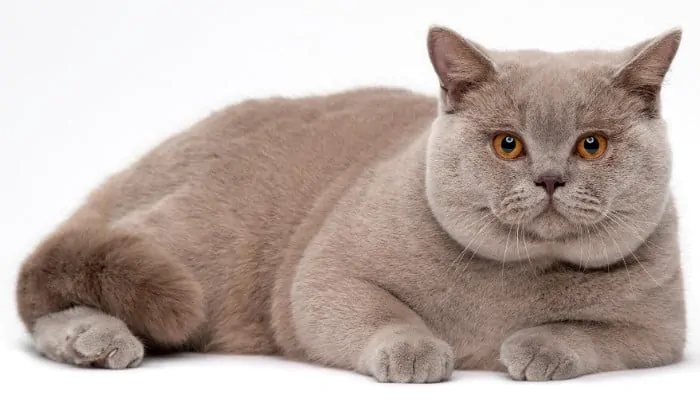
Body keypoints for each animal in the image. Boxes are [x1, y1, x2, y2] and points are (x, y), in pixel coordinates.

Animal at [15, 25, 684, 382]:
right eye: (508, 144)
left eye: (592, 145)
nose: (549, 178)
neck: (512, 280)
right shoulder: (325, 273)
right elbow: (376, 310)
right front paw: (415, 352)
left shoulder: (663, 330)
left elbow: (591, 334)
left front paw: (537, 348)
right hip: (196, 254)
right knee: (42, 298)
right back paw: (95, 342)